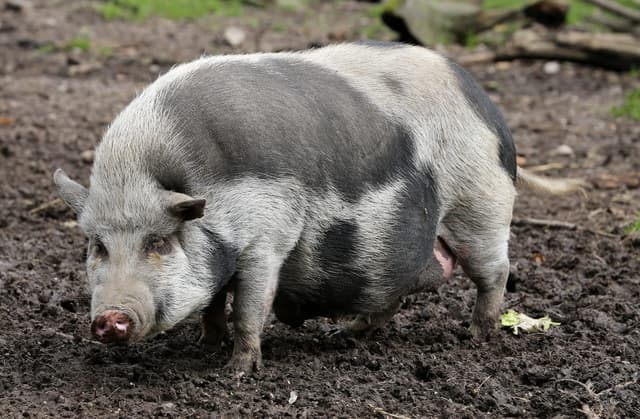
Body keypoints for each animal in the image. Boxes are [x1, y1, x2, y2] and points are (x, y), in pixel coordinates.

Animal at [54, 42, 581, 373]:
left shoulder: (268, 236)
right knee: (393, 294)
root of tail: (488, 107)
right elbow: (214, 302)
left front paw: (234, 373)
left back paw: (477, 337)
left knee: (495, 273)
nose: (110, 317)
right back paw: (343, 335)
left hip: (480, 204)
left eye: (160, 242)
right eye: (97, 246)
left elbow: (249, 306)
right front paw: (205, 346)